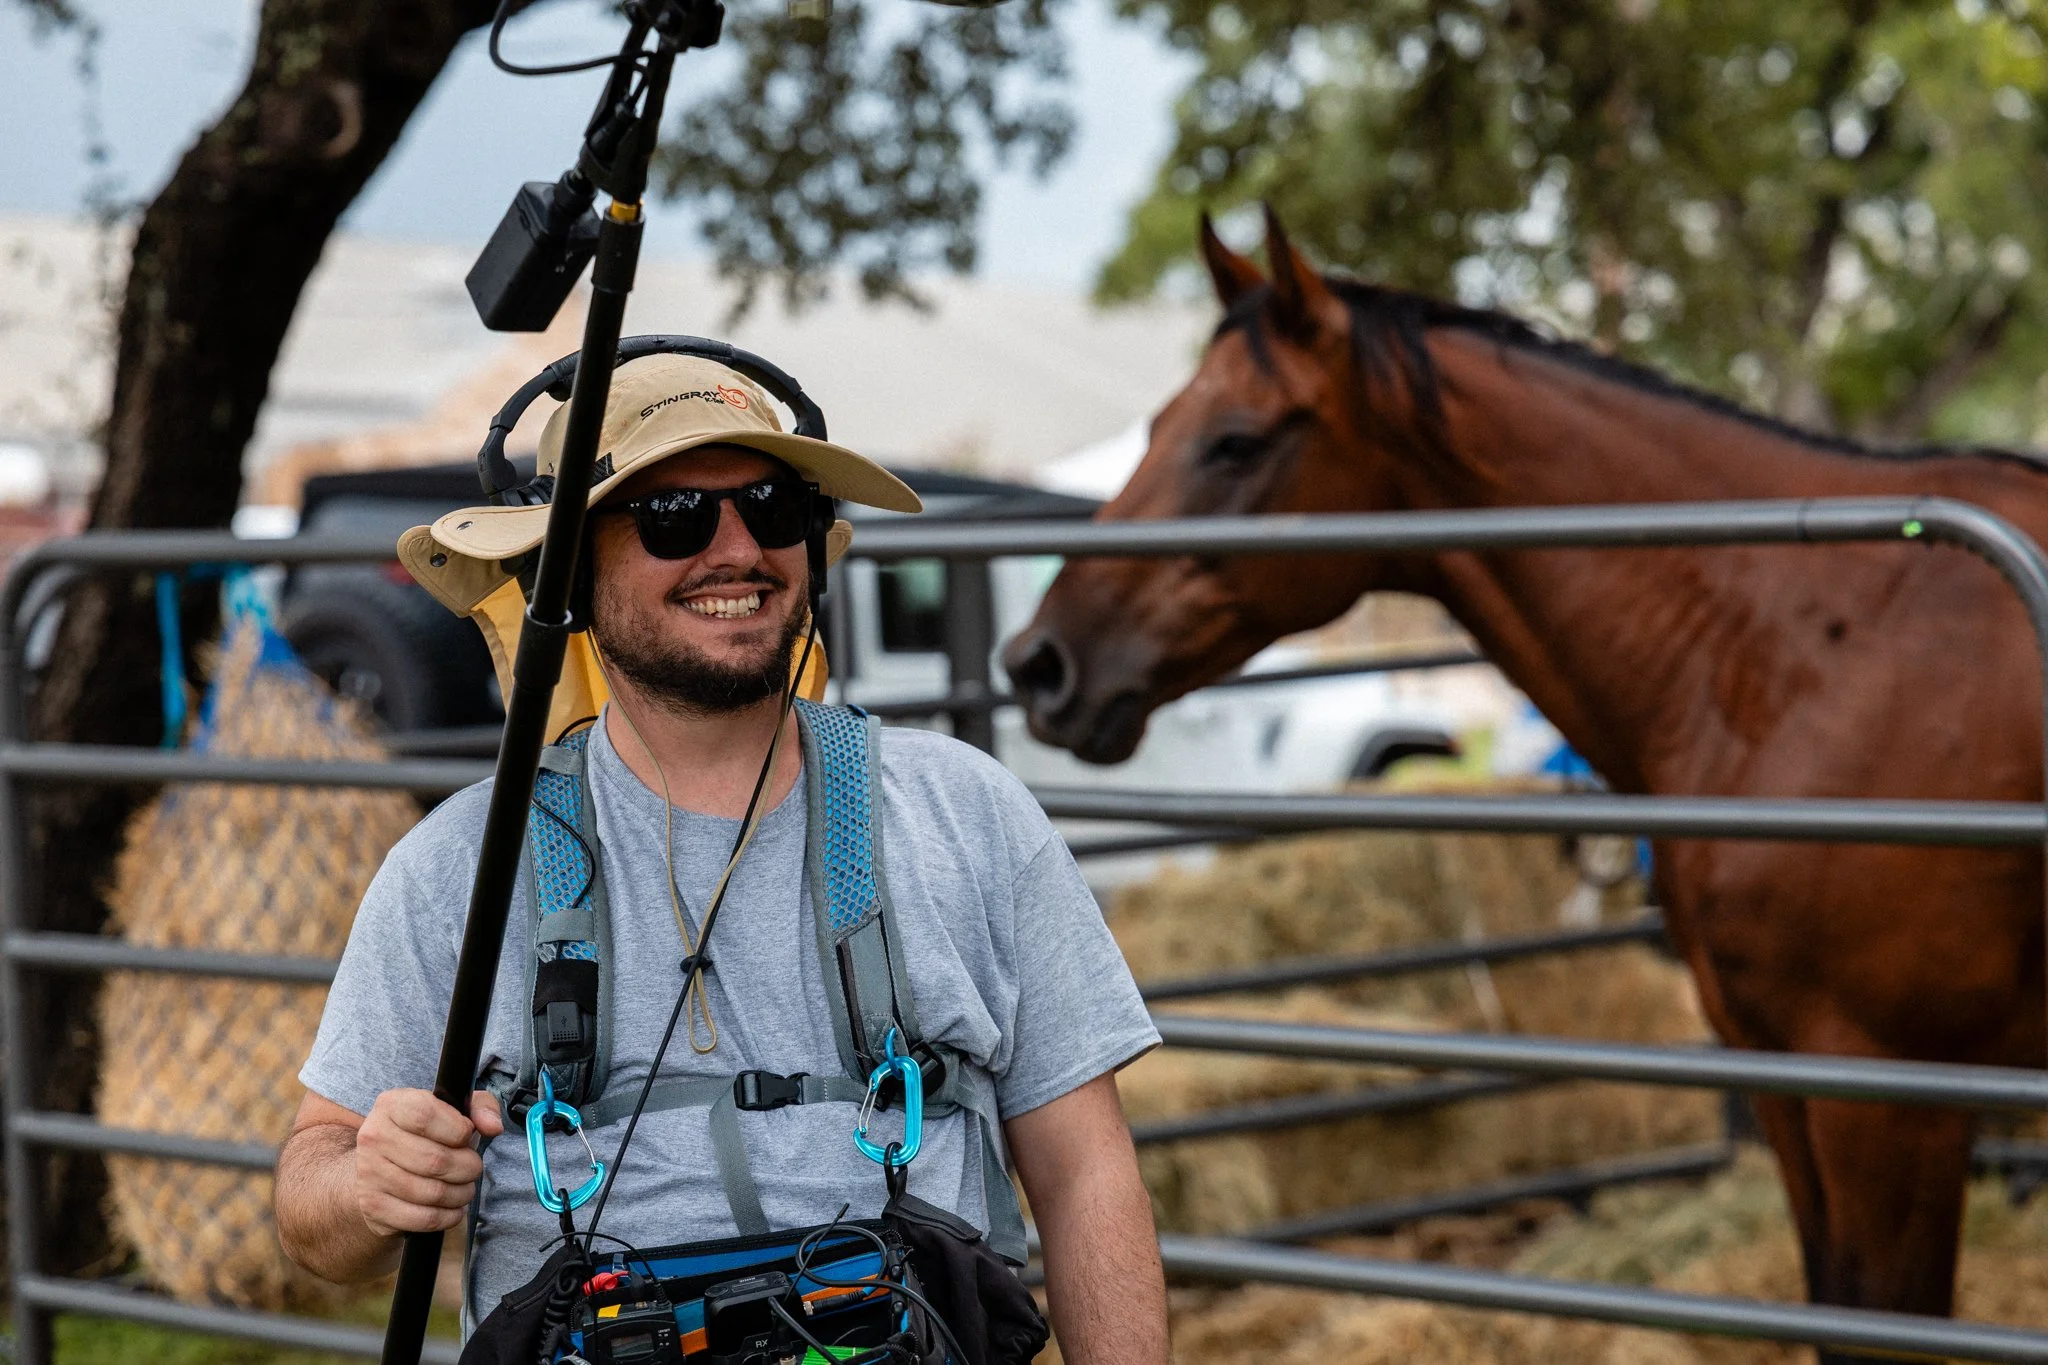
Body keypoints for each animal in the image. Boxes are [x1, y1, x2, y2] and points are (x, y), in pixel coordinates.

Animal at [1002, 206, 2048, 1356]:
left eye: (1235, 439)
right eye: (1154, 427)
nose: (1041, 662)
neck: (1797, 647)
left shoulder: (1886, 1096)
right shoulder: (1785, 1077)